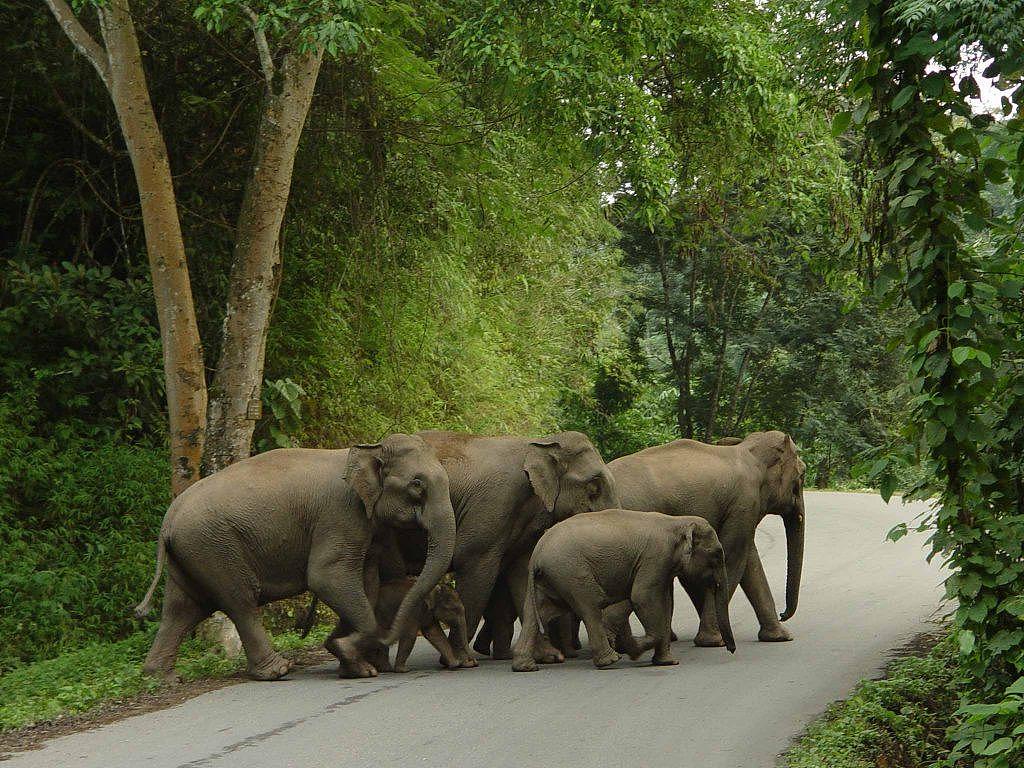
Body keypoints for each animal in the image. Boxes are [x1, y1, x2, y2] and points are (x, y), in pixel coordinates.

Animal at [134, 436, 454, 684]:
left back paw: (163, 677)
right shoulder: (340, 515)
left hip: (190, 551)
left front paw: (350, 661)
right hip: (213, 547)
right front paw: (350, 656)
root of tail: (168, 520)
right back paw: (278, 670)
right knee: (239, 600)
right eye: (417, 484)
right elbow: (326, 577)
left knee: (182, 608)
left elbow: (366, 582)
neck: (367, 448)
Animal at [512, 512, 737, 671]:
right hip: (571, 572)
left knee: (537, 614)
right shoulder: (655, 557)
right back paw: (611, 660)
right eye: (717, 555)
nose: (731, 650)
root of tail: (537, 554)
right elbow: (642, 597)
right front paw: (633, 648)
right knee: (590, 607)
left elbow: (662, 603)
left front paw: (667, 663)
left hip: (549, 579)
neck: (677, 521)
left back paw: (525, 667)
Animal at [606, 430, 806, 647]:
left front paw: (779, 637)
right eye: (802, 475)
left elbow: (749, 562)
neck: (747, 448)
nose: (783, 614)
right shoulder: (744, 503)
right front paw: (713, 640)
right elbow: (733, 558)